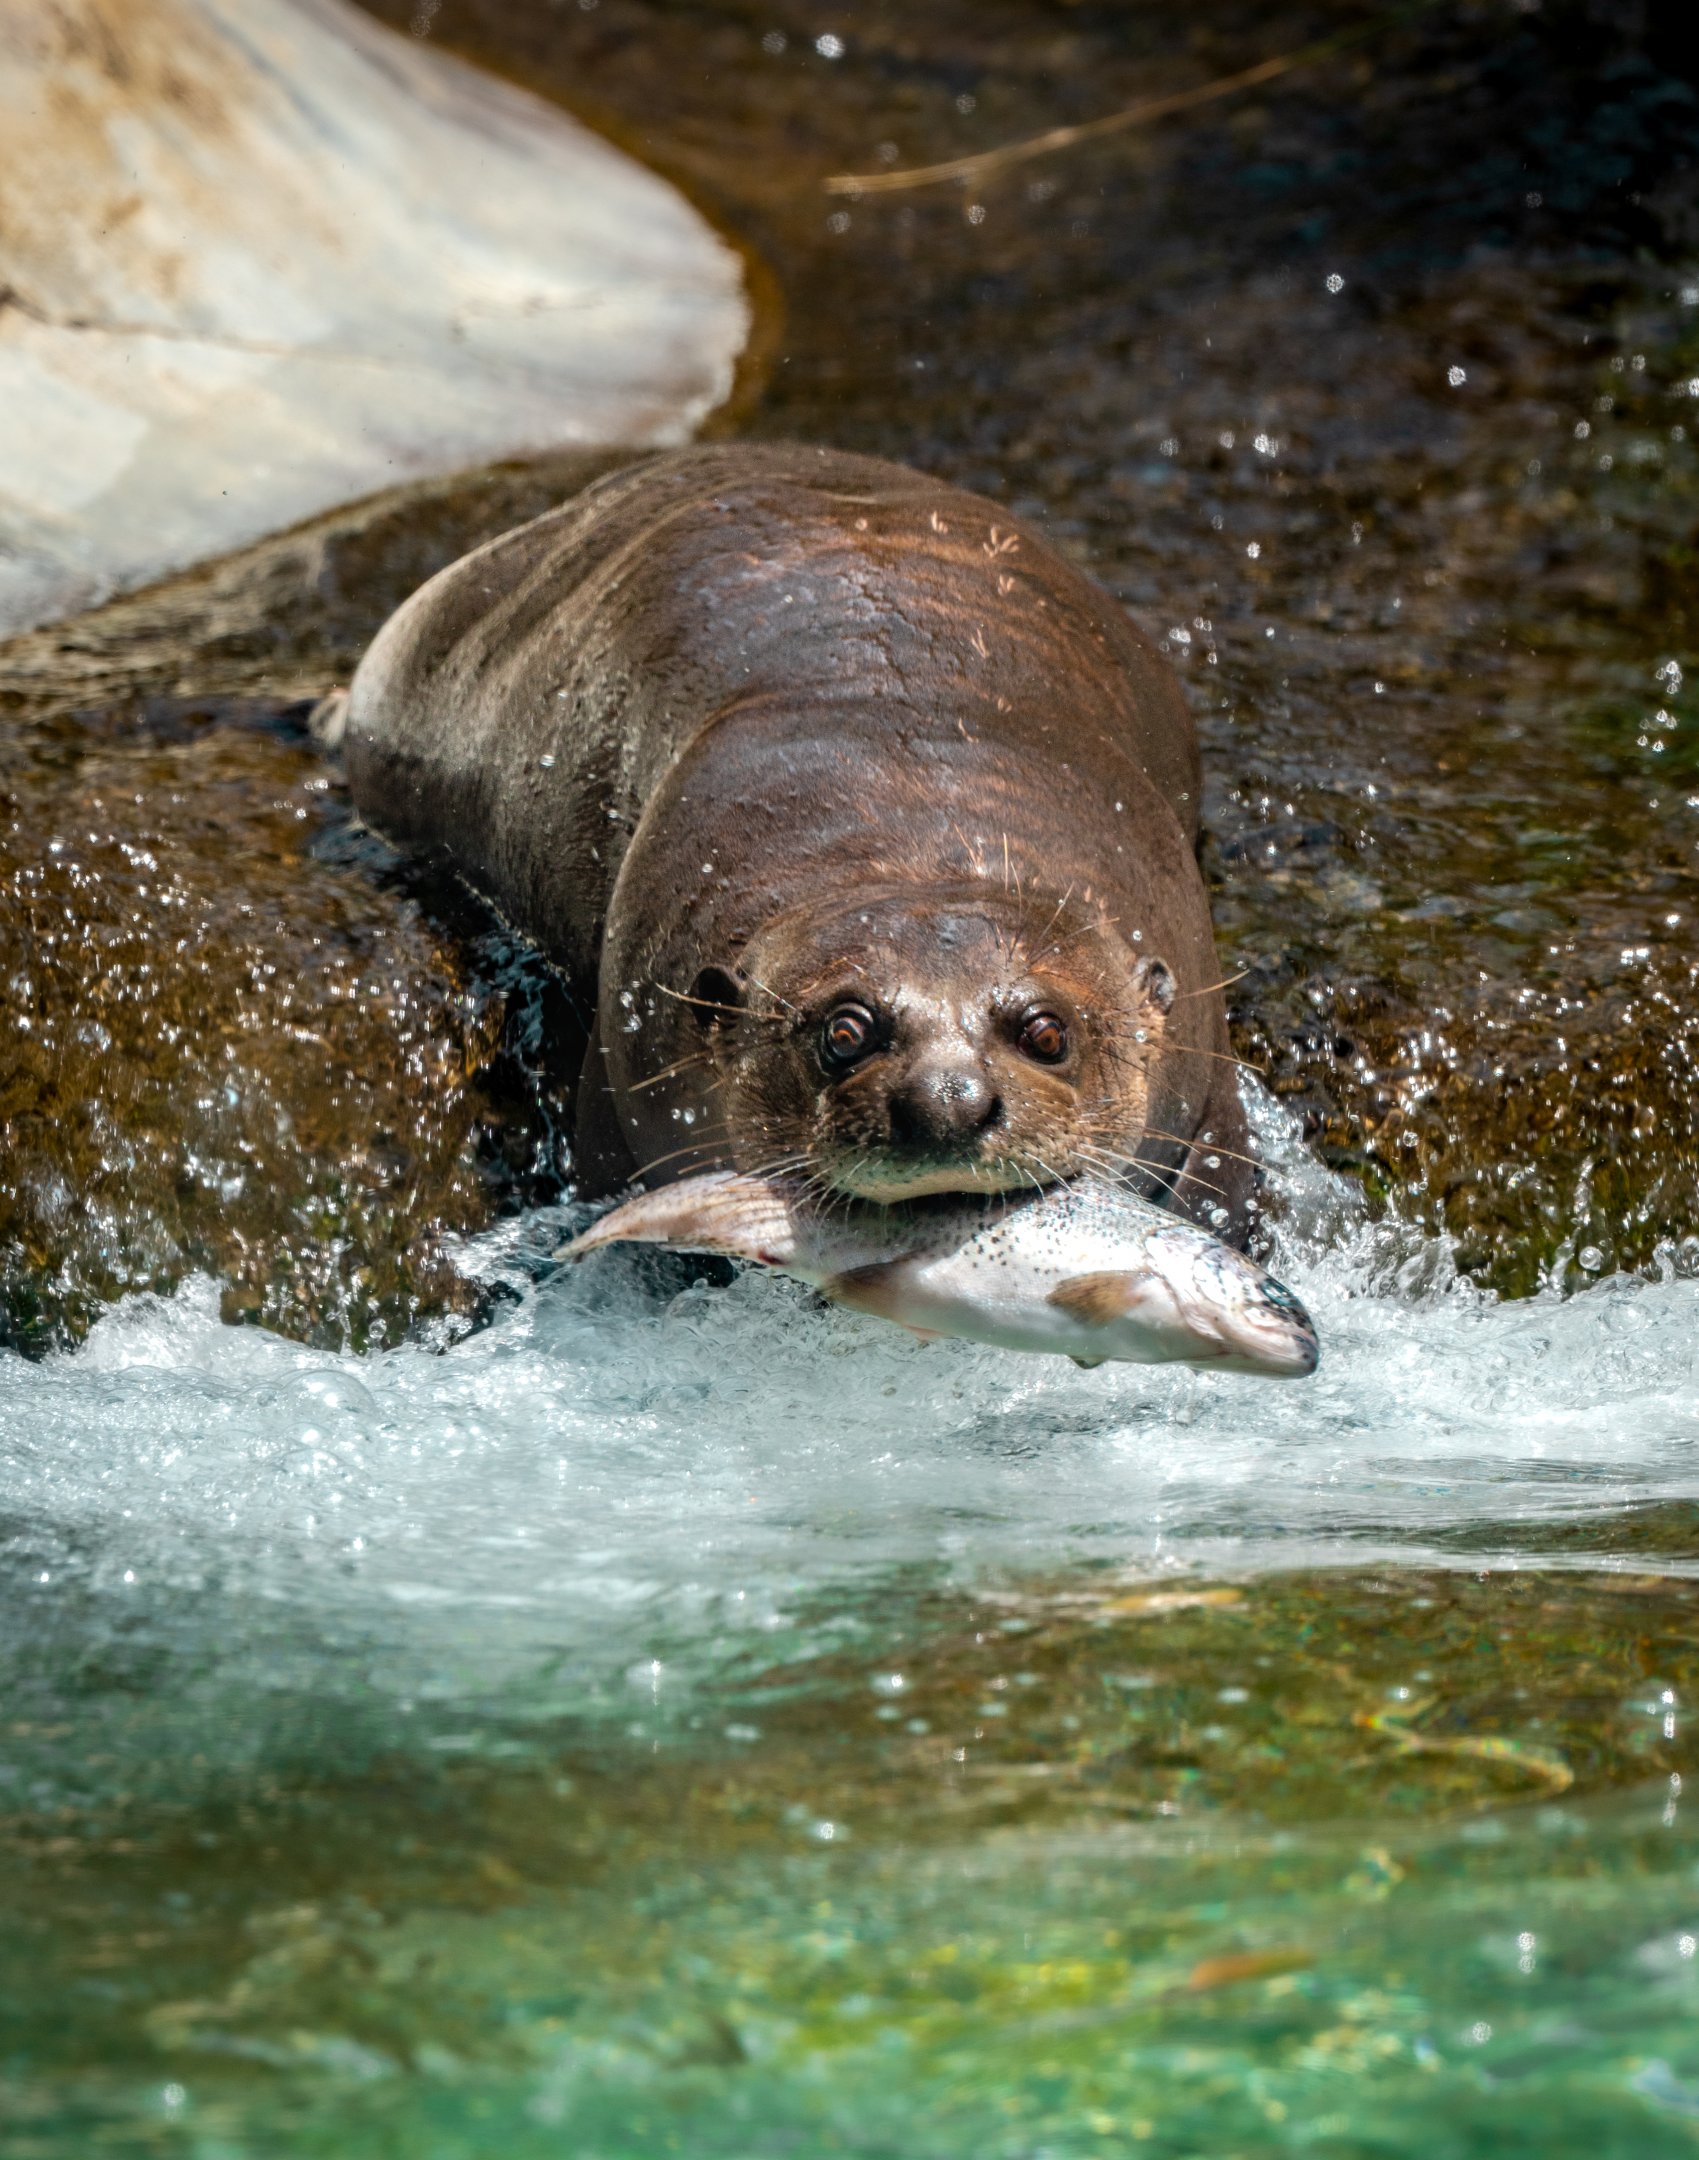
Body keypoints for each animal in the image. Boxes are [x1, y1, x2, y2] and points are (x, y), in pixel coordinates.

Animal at [336, 444, 1252, 1234]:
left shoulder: (1205, 1084)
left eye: (1046, 1032)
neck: (916, 816)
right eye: (843, 1033)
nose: (946, 1102)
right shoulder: (623, 1086)